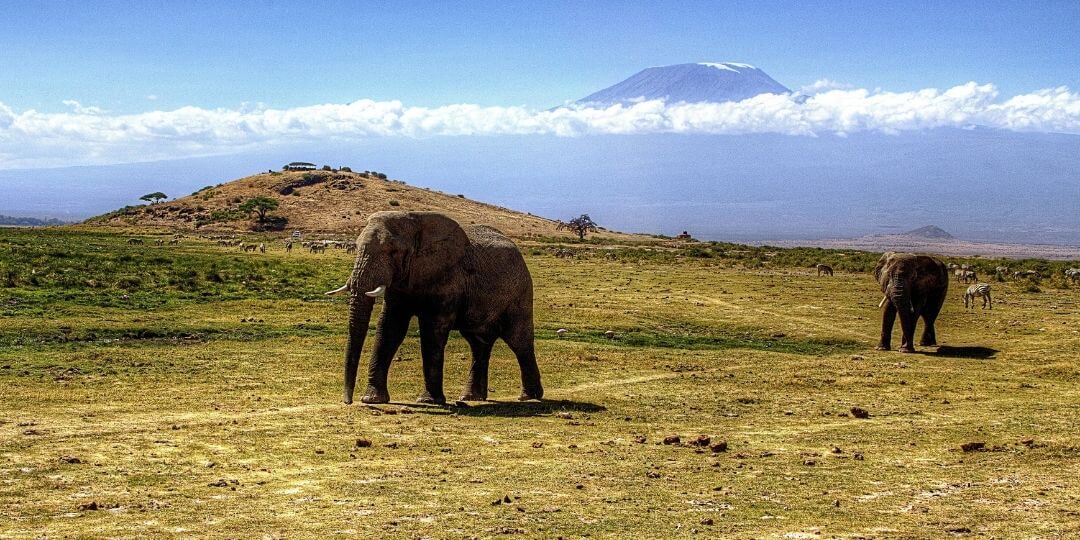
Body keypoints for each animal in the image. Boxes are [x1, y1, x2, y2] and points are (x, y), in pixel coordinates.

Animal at [325, 211, 544, 405]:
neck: (415, 222)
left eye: (393, 252)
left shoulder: (448, 279)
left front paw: (428, 401)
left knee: (519, 341)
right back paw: (471, 397)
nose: (348, 401)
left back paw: (529, 397)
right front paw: (372, 399)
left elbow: (432, 331)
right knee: (478, 344)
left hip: (520, 293)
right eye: (356, 247)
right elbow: (389, 329)